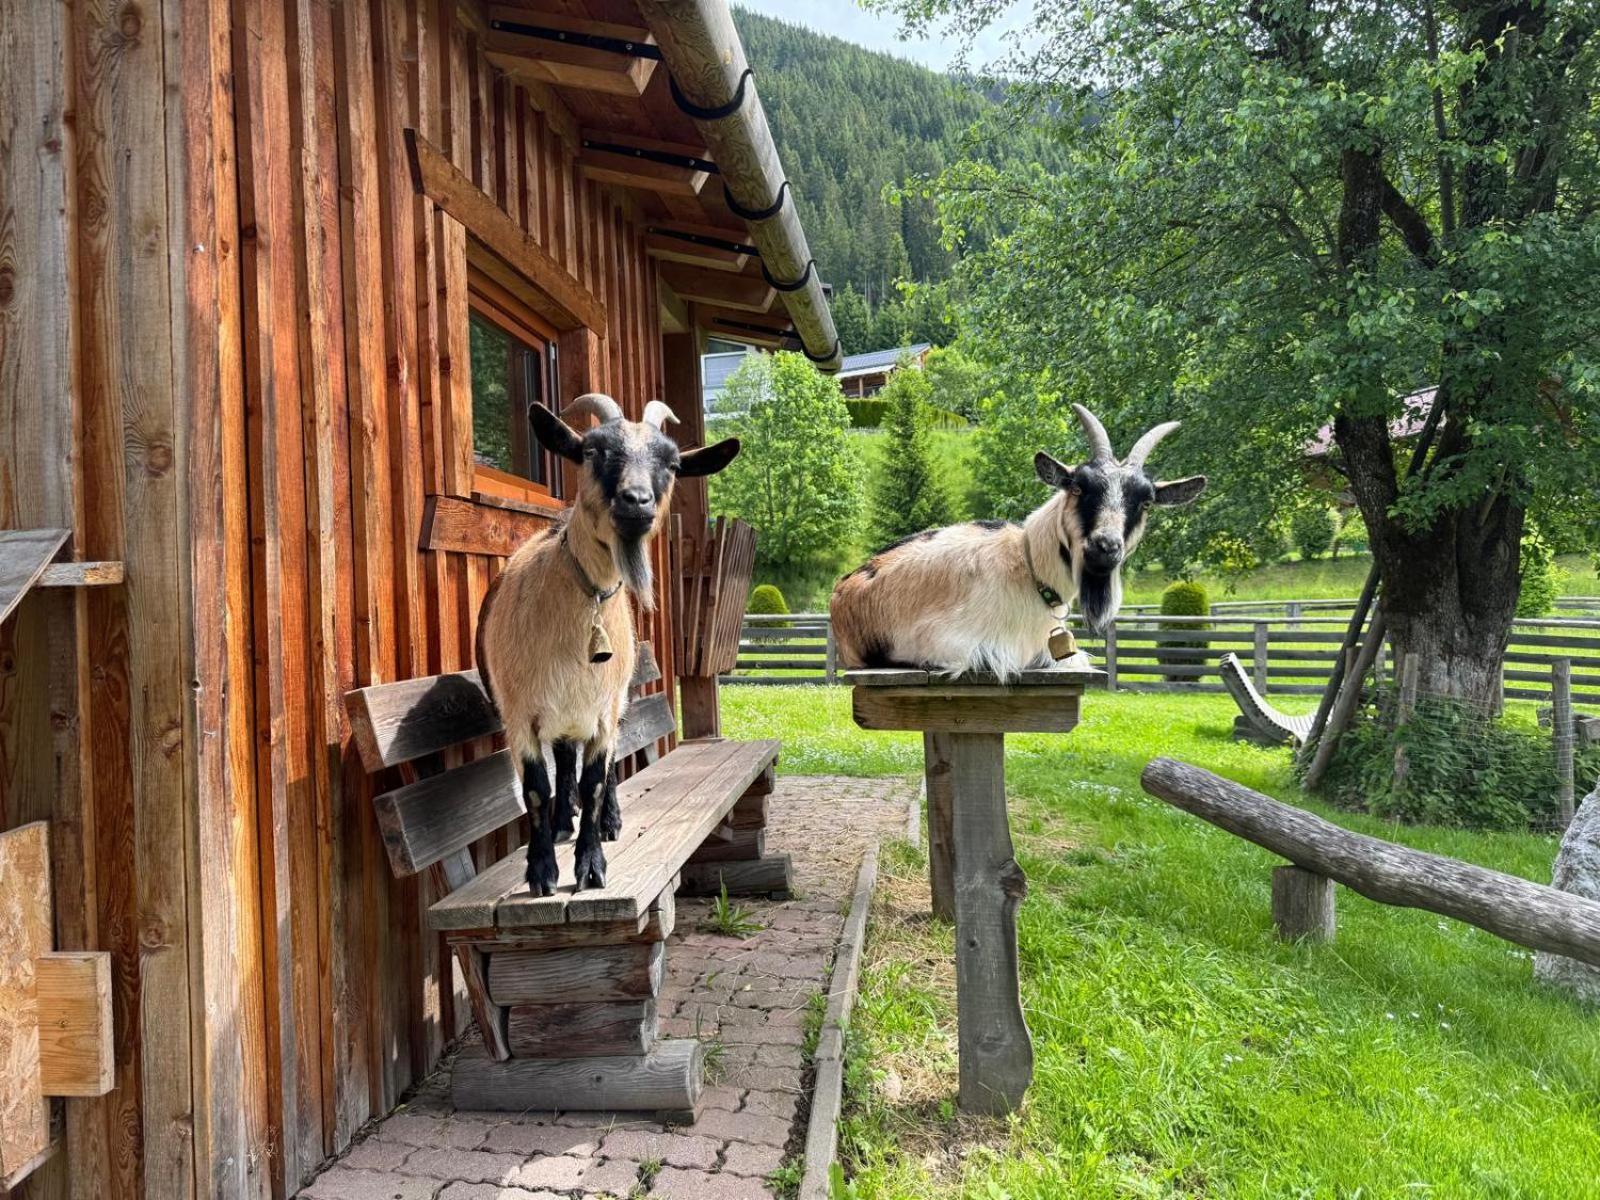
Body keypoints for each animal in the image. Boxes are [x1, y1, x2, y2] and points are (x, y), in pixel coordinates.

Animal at [476, 400, 739, 896]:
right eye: (592, 450)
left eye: (672, 463)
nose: (636, 501)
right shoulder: (519, 712)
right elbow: (537, 788)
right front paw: (541, 870)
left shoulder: (603, 710)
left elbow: (596, 782)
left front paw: (591, 866)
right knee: (563, 761)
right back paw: (563, 821)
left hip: (617, 703)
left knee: (608, 764)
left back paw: (611, 821)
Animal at [832, 406, 1203, 681]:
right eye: (1078, 487)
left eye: (1146, 502)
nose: (1105, 547)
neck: (1028, 567)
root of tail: (841, 590)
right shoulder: (952, 644)